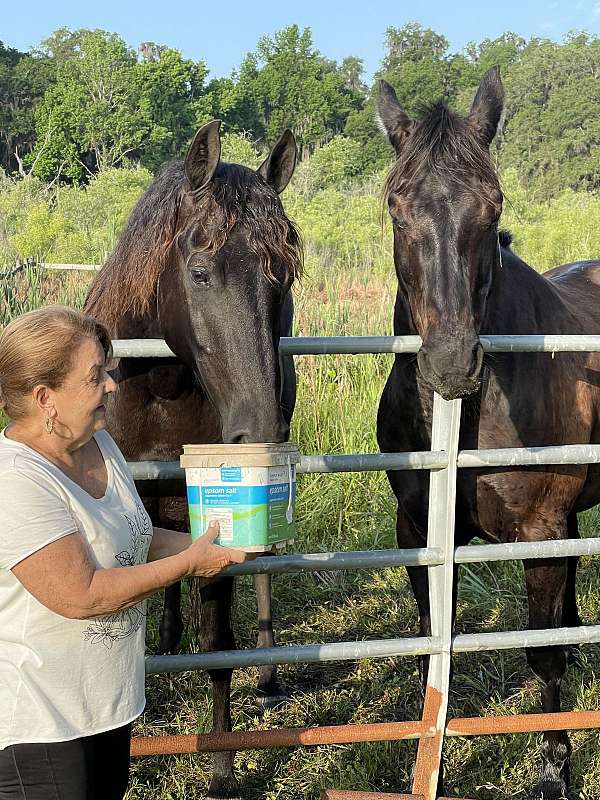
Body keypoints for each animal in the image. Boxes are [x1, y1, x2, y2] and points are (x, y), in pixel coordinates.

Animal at [84, 120, 300, 800]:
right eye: (201, 271)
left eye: (286, 275)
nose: (257, 430)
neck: (159, 386)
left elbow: (219, 639)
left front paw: (224, 767)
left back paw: (268, 674)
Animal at [378, 69, 600, 800]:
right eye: (395, 206)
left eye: (494, 204)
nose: (452, 362)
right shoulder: (420, 528)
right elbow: (431, 647)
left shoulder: (541, 529)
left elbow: (542, 654)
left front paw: (555, 769)